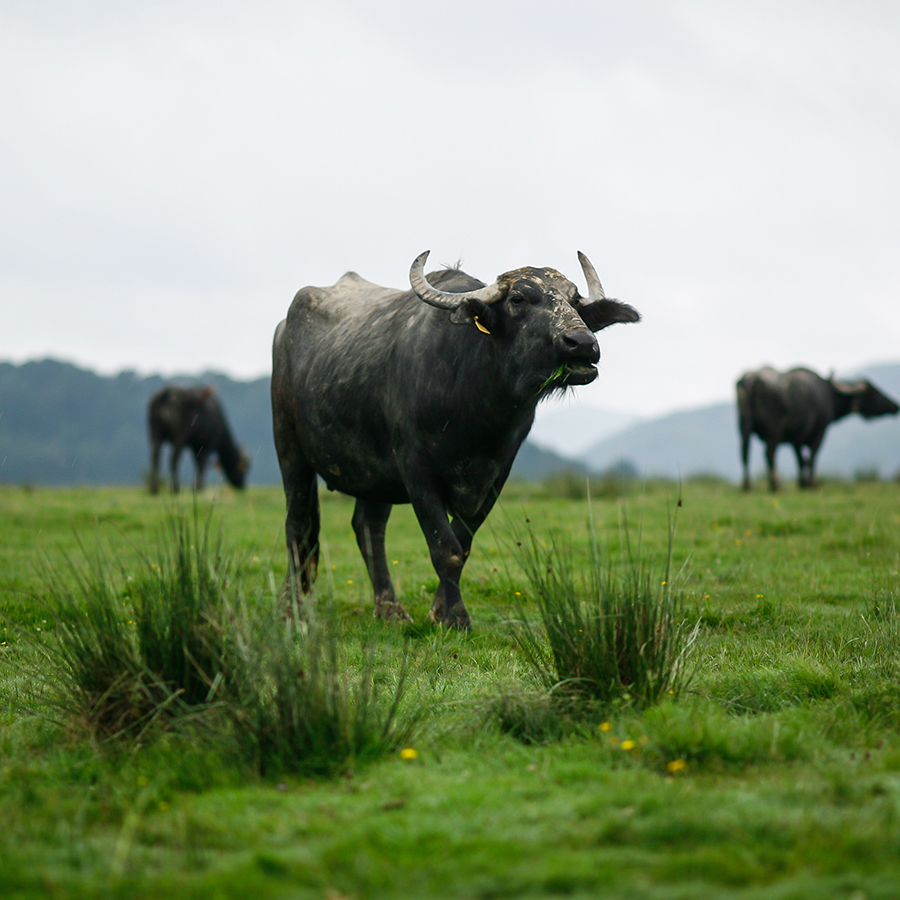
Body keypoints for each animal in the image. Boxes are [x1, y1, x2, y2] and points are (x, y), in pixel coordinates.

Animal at [268, 246, 640, 624]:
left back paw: (390, 610)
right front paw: (455, 617)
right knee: (298, 526)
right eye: (518, 299)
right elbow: (444, 548)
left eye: (574, 300)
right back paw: (290, 609)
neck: (475, 414)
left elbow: (462, 544)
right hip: (289, 449)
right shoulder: (416, 471)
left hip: (373, 476)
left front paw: (440, 611)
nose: (582, 343)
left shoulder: (495, 475)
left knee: (368, 527)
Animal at [736, 366, 896, 492]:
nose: (895, 405)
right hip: (774, 431)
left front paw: (802, 483)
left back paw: (747, 486)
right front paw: (811, 484)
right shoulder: (819, 433)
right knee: (769, 454)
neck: (829, 395)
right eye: (872, 392)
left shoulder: (796, 439)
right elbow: (812, 458)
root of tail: (751, 380)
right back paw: (776, 486)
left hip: (744, 427)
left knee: (744, 453)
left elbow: (801, 461)